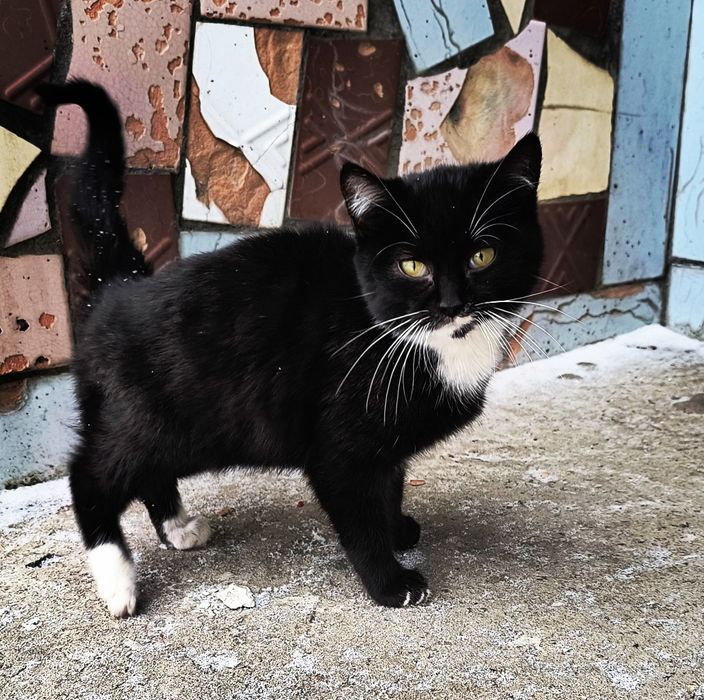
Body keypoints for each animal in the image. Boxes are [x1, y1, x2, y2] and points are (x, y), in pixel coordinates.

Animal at [38, 81, 543, 618]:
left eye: (483, 256)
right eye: (411, 266)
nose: (454, 304)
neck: (418, 342)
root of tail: (120, 287)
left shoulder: (383, 445)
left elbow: (389, 483)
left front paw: (397, 528)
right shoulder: (338, 447)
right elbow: (359, 513)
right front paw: (389, 580)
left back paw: (178, 527)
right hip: (156, 416)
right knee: (91, 474)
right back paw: (117, 579)